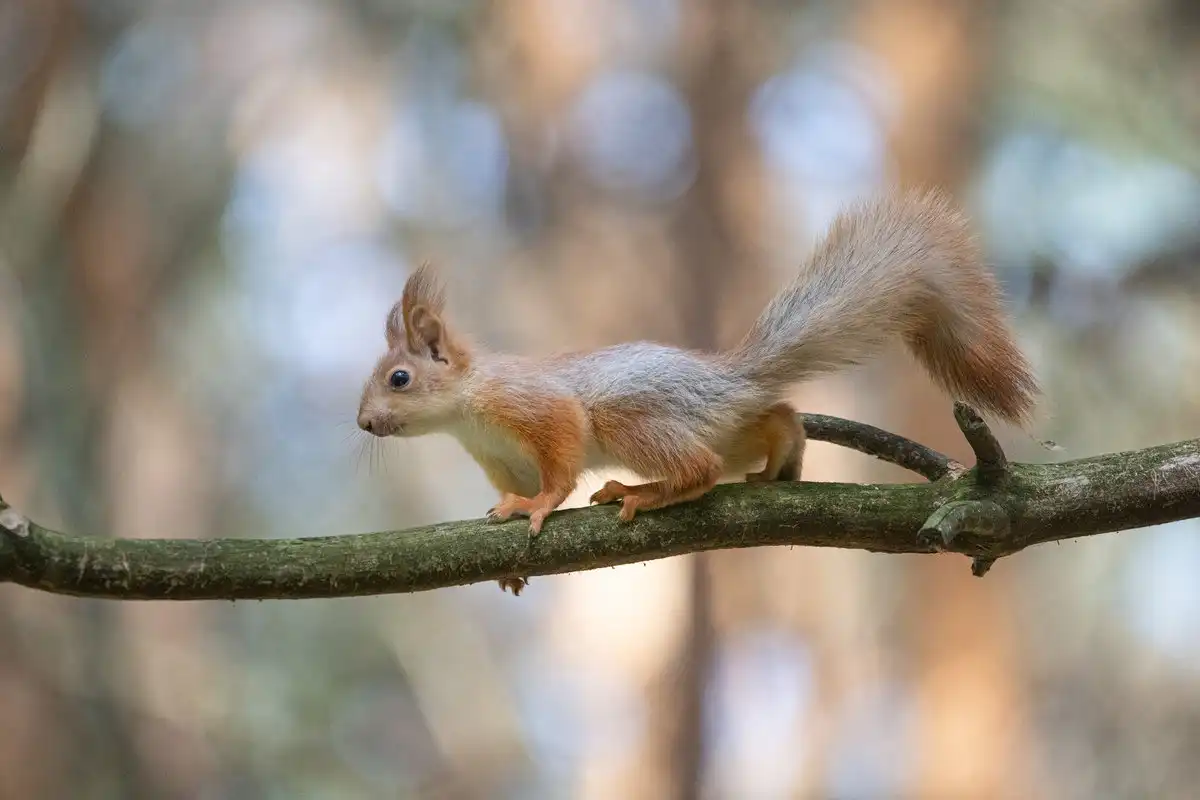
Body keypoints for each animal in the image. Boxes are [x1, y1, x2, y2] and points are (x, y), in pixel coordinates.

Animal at [356, 189, 1039, 595]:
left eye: (399, 378)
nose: (363, 423)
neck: (467, 413)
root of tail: (729, 382)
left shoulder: (537, 407)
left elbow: (559, 462)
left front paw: (540, 505)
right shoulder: (498, 456)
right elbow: (513, 485)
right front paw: (509, 546)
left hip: (633, 417)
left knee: (702, 469)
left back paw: (641, 492)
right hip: (734, 428)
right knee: (777, 419)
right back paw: (779, 463)